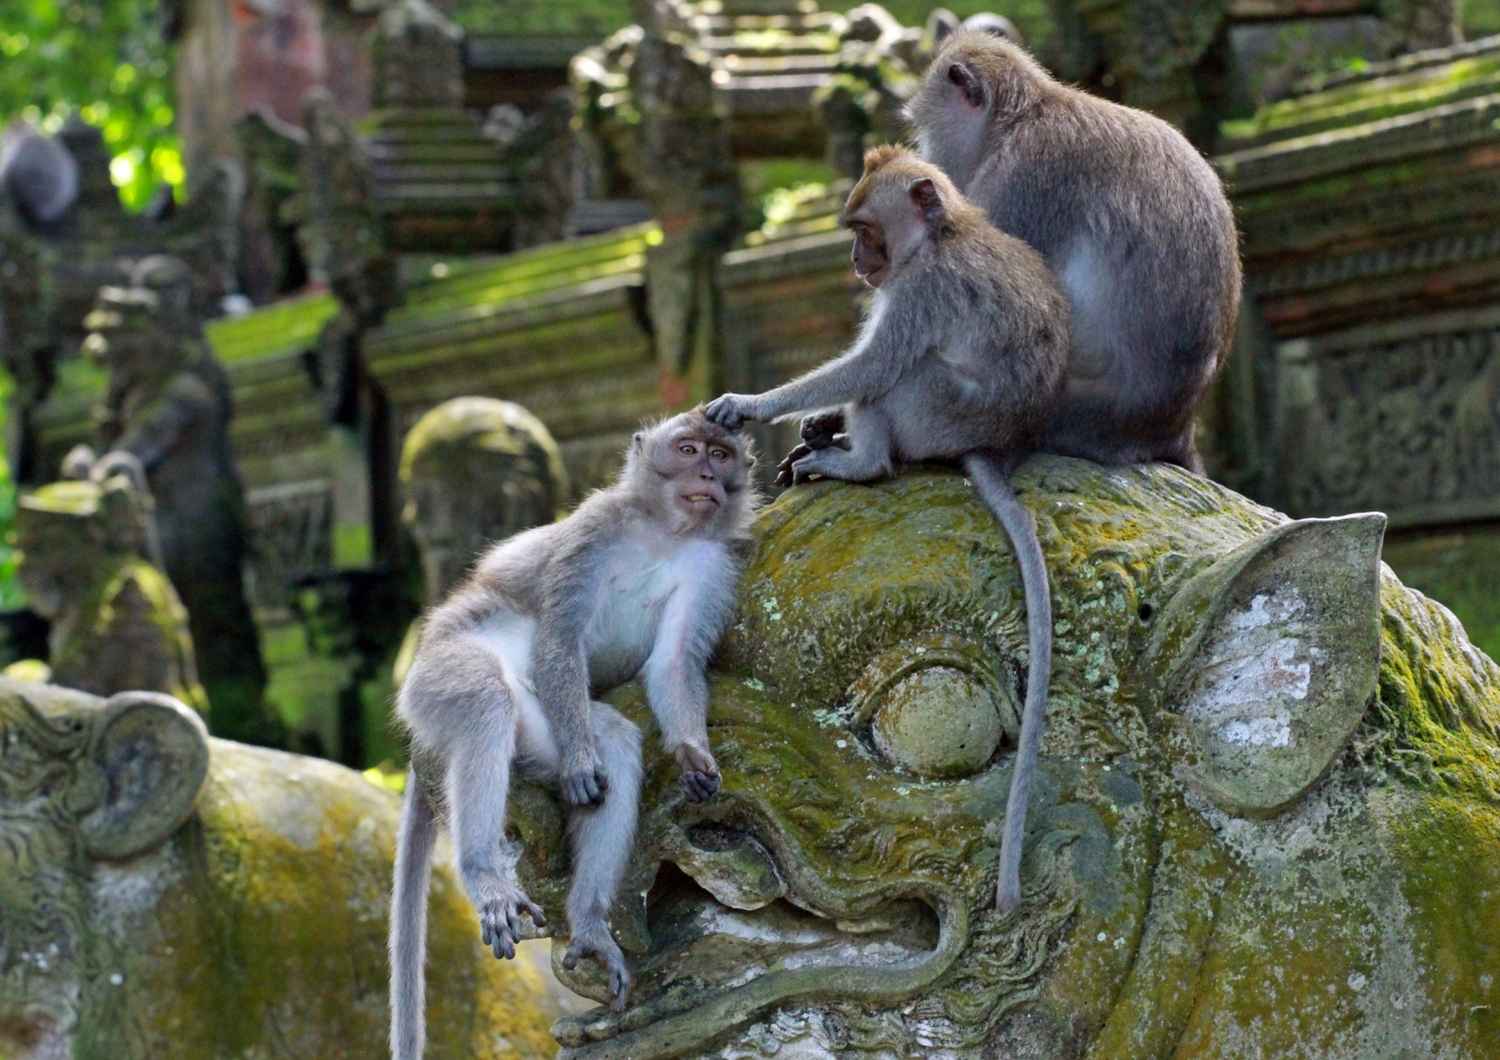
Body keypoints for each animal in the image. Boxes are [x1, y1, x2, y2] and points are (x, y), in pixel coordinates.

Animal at [389, 410, 756, 1060]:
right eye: (687, 449)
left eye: (721, 453)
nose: (708, 476)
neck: (664, 533)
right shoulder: (593, 531)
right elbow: (560, 637)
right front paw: (585, 762)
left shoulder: (713, 566)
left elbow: (673, 664)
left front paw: (693, 753)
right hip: (437, 678)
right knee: (485, 699)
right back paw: (484, 874)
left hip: (543, 722)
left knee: (616, 740)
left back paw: (588, 925)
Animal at [704, 146, 1069, 913]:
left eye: (866, 228)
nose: (854, 259)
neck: (942, 237)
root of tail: (993, 445)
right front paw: (813, 421)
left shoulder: (918, 292)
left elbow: (871, 364)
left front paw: (753, 404)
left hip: (934, 411)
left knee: (895, 376)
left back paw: (860, 462)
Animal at [904, 30, 1242, 473]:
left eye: (926, 129)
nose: (928, 160)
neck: (1020, 119)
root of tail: (1174, 428)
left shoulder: (1022, 179)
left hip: (1066, 412)